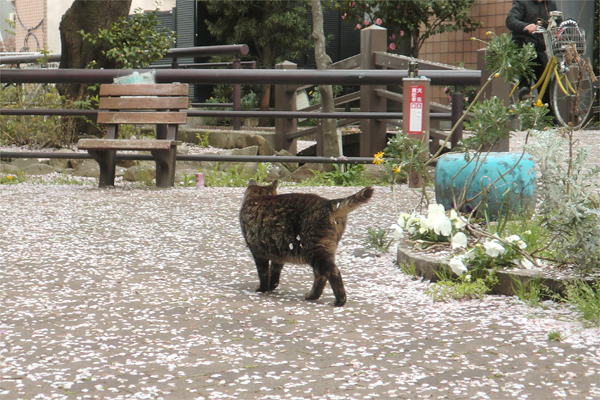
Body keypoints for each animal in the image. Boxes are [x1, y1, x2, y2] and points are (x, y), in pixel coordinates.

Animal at [238, 180, 370, 308]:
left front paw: (263, 289)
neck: (258, 198)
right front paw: (271, 286)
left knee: (332, 271)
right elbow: (274, 274)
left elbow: (264, 273)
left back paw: (339, 300)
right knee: (320, 275)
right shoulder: (277, 253)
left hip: (315, 251)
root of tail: (329, 203)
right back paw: (312, 296)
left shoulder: (258, 252)